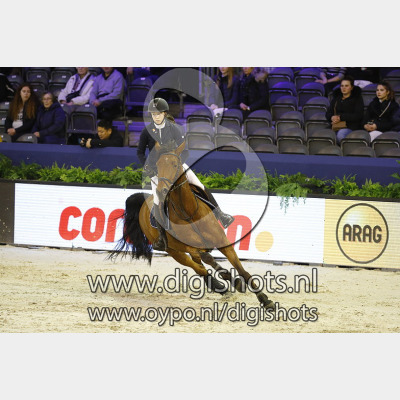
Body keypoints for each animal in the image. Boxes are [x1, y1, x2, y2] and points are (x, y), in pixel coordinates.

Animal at [110, 140, 274, 309]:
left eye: (175, 164)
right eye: (158, 165)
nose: (162, 190)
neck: (188, 213)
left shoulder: (223, 242)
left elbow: (242, 270)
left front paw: (265, 299)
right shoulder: (191, 247)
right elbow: (207, 259)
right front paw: (232, 279)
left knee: (201, 266)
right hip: (174, 251)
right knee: (199, 268)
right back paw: (222, 287)